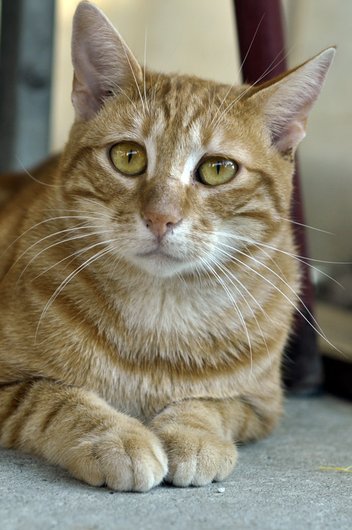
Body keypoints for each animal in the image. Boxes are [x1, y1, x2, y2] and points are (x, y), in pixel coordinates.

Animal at [0, 0, 332, 488]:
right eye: (128, 157)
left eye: (217, 169)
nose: (161, 217)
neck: (159, 324)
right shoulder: (11, 386)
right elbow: (55, 398)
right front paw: (117, 436)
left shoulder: (259, 406)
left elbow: (210, 406)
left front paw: (192, 435)